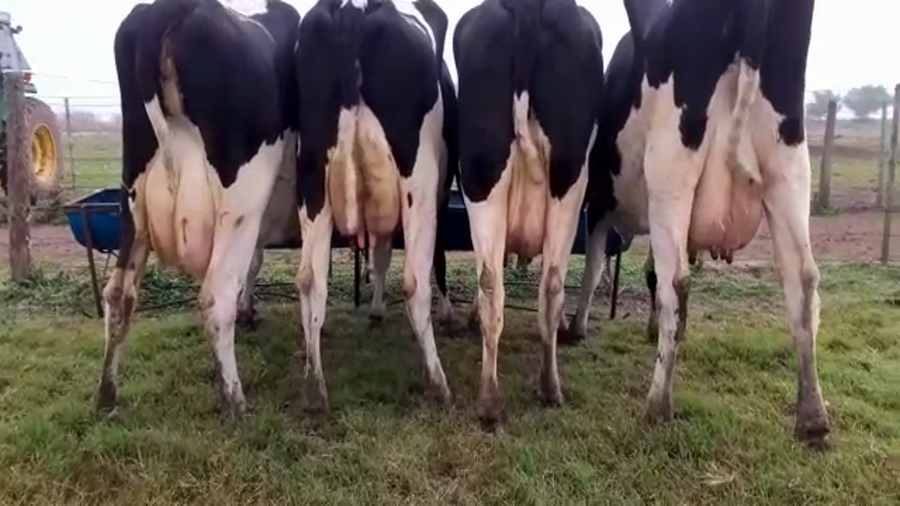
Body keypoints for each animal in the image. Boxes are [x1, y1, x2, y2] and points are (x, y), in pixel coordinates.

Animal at [97, 0, 301, 417]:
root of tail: (164, 10)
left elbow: (255, 263)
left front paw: (249, 309)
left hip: (133, 201)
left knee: (118, 294)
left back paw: (106, 395)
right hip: (239, 204)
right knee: (215, 295)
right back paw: (236, 400)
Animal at [293, 0, 457, 411]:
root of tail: (354, 10)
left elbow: (381, 254)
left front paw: (377, 308)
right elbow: (436, 258)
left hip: (311, 176)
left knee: (309, 279)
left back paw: (314, 384)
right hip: (420, 180)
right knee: (415, 282)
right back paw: (438, 381)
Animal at [454, 0, 604, 427]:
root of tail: (527, 8)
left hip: (488, 177)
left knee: (502, 284)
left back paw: (497, 399)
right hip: (569, 181)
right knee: (542, 286)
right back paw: (540, 388)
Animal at [564, 0, 830, 446]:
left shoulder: (600, 204)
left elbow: (596, 266)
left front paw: (577, 327)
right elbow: (647, 273)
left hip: (671, 176)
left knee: (677, 285)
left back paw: (657, 404)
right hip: (789, 171)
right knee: (803, 283)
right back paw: (812, 417)